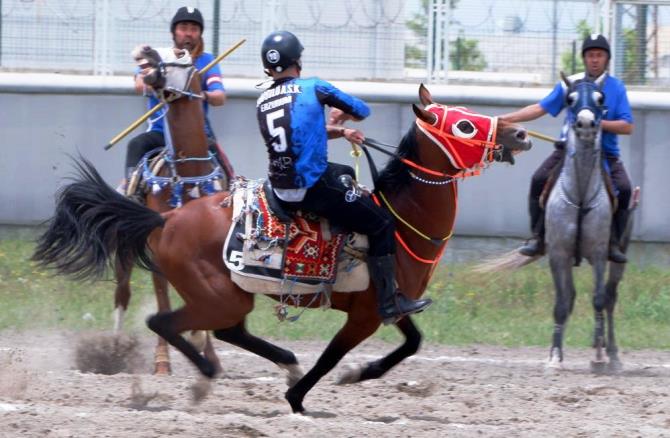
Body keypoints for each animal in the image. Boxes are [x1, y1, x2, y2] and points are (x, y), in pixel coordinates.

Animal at [32, 83, 532, 414]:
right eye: (464, 123)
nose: (519, 135)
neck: (397, 221)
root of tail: (166, 219)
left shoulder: (391, 304)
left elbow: (411, 343)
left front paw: (358, 375)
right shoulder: (365, 315)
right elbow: (333, 356)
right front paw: (300, 398)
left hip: (229, 295)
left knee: (228, 331)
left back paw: (282, 364)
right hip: (217, 296)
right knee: (167, 323)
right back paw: (209, 379)